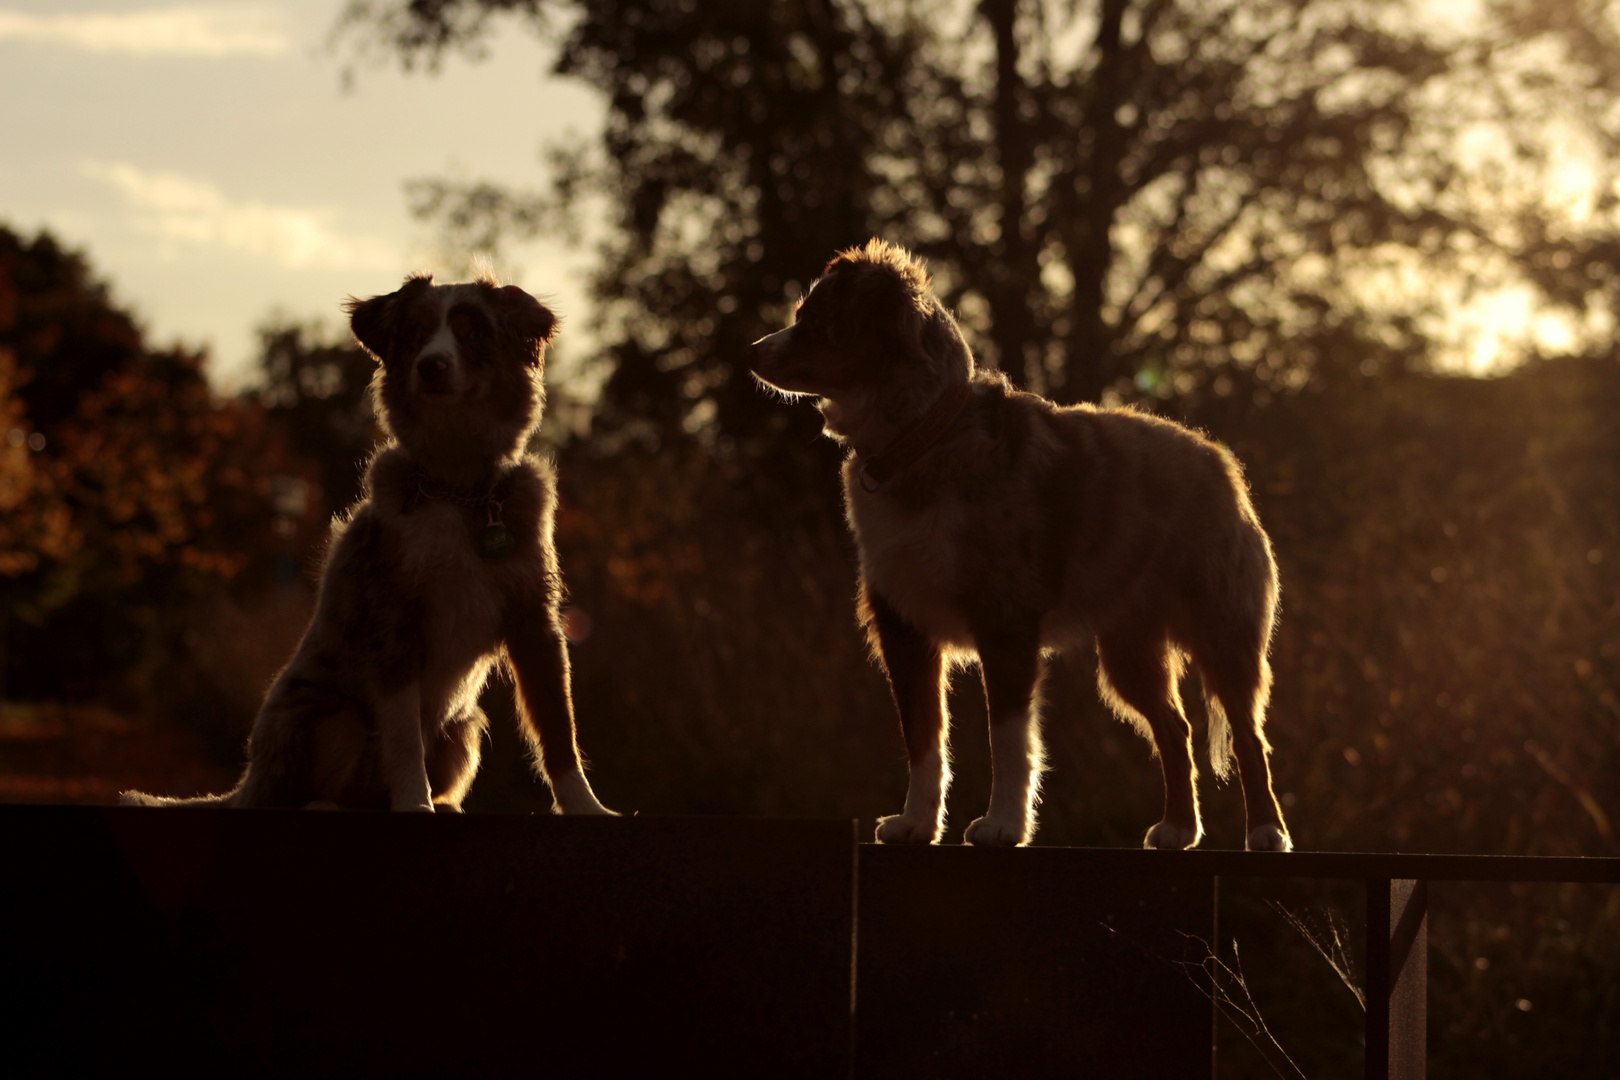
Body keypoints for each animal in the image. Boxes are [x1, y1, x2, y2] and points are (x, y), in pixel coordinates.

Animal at [121, 275, 612, 816]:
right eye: (416, 333)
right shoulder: (394, 621)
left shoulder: (534, 620)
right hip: (330, 720)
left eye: (473, 333)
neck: (459, 488)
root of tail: (248, 784)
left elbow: (559, 728)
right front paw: (415, 806)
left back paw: (445, 804)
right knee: (308, 792)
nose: (432, 365)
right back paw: (329, 805)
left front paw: (589, 808)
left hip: (462, 728)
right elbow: (403, 737)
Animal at [745, 238, 1289, 854]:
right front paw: (916, 823)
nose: (751, 352)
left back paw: (1266, 830)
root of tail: (1219, 461)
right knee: (1175, 729)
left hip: (1221, 632)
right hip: (1129, 651)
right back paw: (1177, 827)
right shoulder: (904, 627)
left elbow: (1007, 740)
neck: (921, 439)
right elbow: (923, 738)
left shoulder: (1004, 622)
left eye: (818, 323)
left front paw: (1003, 824)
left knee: (1248, 736)